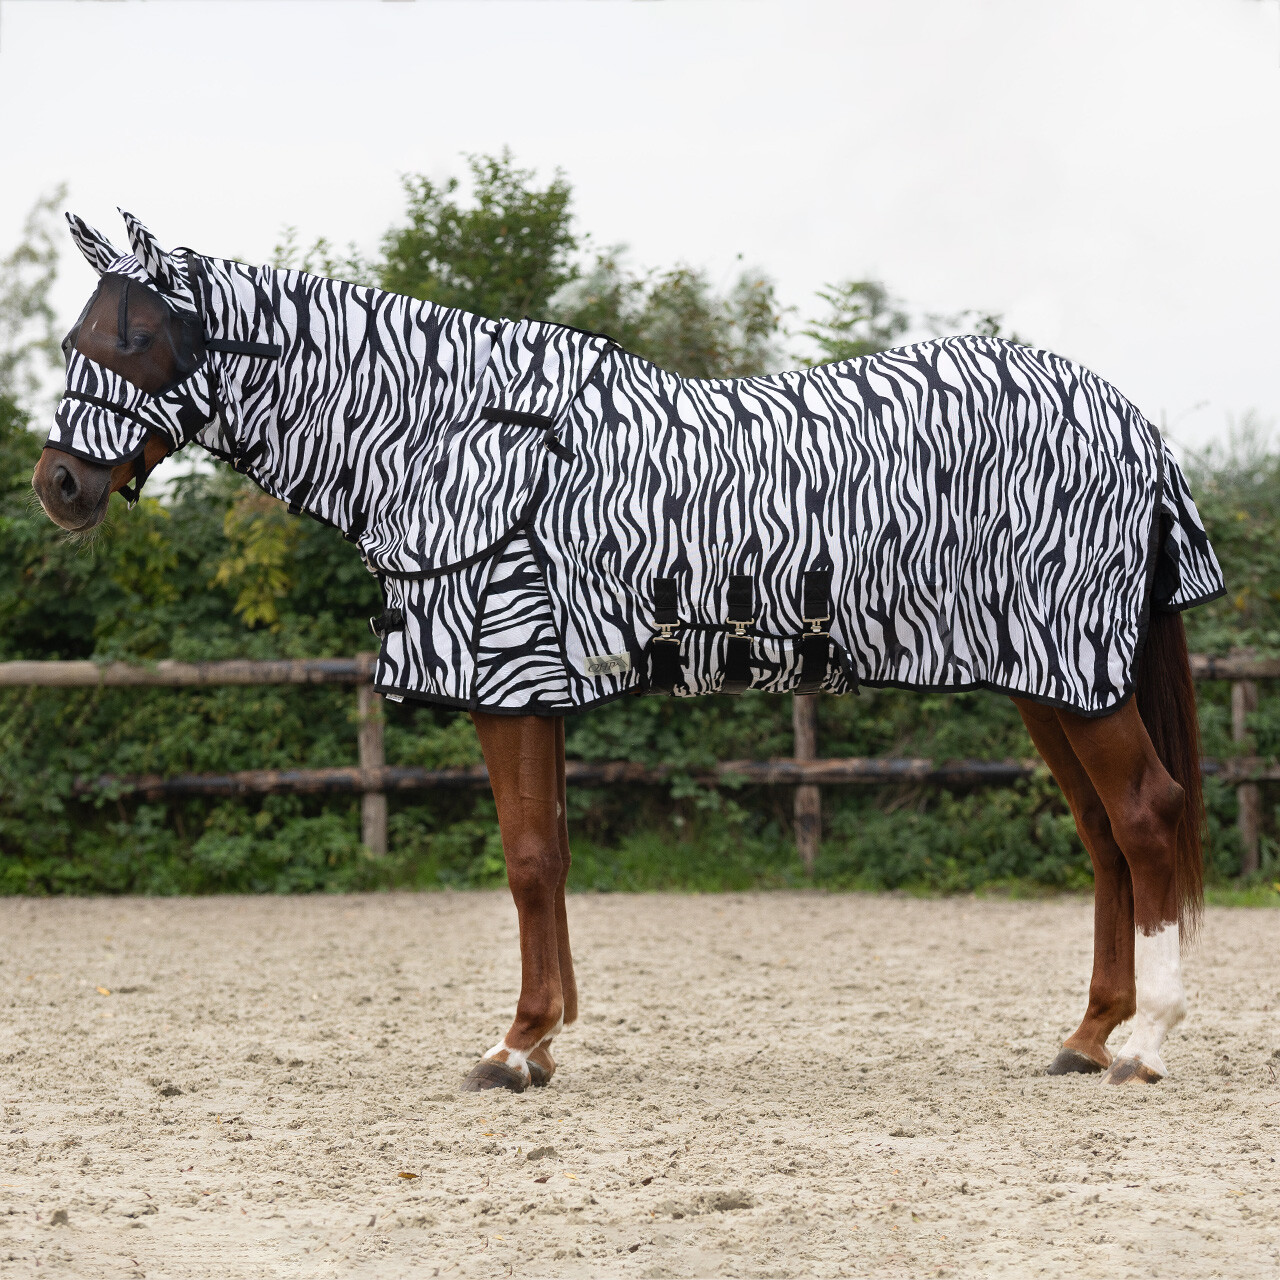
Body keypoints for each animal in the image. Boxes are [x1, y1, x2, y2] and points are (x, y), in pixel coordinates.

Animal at [33, 210, 1225, 1092]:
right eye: (74, 339)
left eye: (131, 339)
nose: (59, 486)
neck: (457, 436)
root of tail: (1129, 421)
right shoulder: (535, 687)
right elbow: (550, 856)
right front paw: (544, 1039)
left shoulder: (505, 677)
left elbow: (523, 859)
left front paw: (513, 1047)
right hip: (1046, 682)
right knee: (1105, 840)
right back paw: (1085, 1036)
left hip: (1074, 677)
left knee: (1145, 815)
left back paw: (1144, 1044)